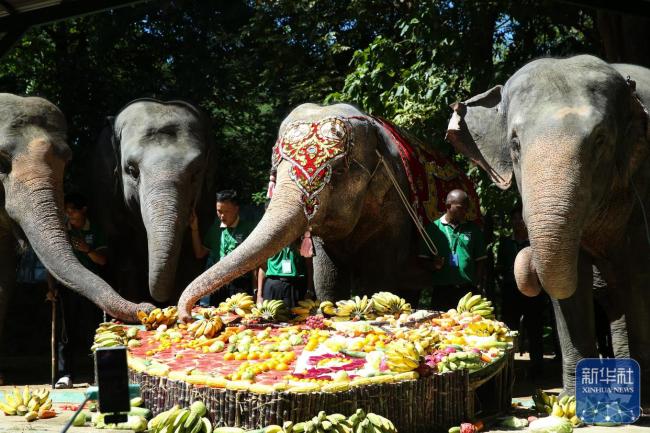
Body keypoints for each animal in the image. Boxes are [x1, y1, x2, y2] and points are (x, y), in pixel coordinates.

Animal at [86, 98, 216, 303]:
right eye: (132, 171)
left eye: (196, 173)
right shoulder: (106, 193)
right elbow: (125, 259)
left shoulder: (207, 197)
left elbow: (192, 258)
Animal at [177, 103, 482, 322]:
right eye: (275, 171)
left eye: (337, 173)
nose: (188, 316)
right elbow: (327, 273)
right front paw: (330, 308)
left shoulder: (396, 208)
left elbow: (378, 275)